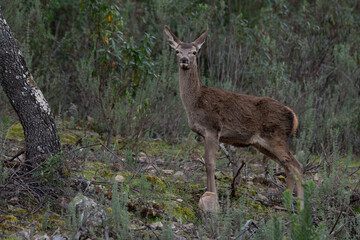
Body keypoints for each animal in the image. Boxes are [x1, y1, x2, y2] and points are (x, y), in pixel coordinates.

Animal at [165, 25, 304, 211]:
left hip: (276, 137)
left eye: (195, 52)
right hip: (263, 143)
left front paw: (213, 197)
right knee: (288, 166)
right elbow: (208, 164)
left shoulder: (212, 128)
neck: (196, 101)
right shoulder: (204, 133)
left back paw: (301, 207)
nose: (185, 59)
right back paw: (286, 204)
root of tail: (293, 116)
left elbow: (210, 164)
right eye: (177, 51)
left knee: (297, 166)